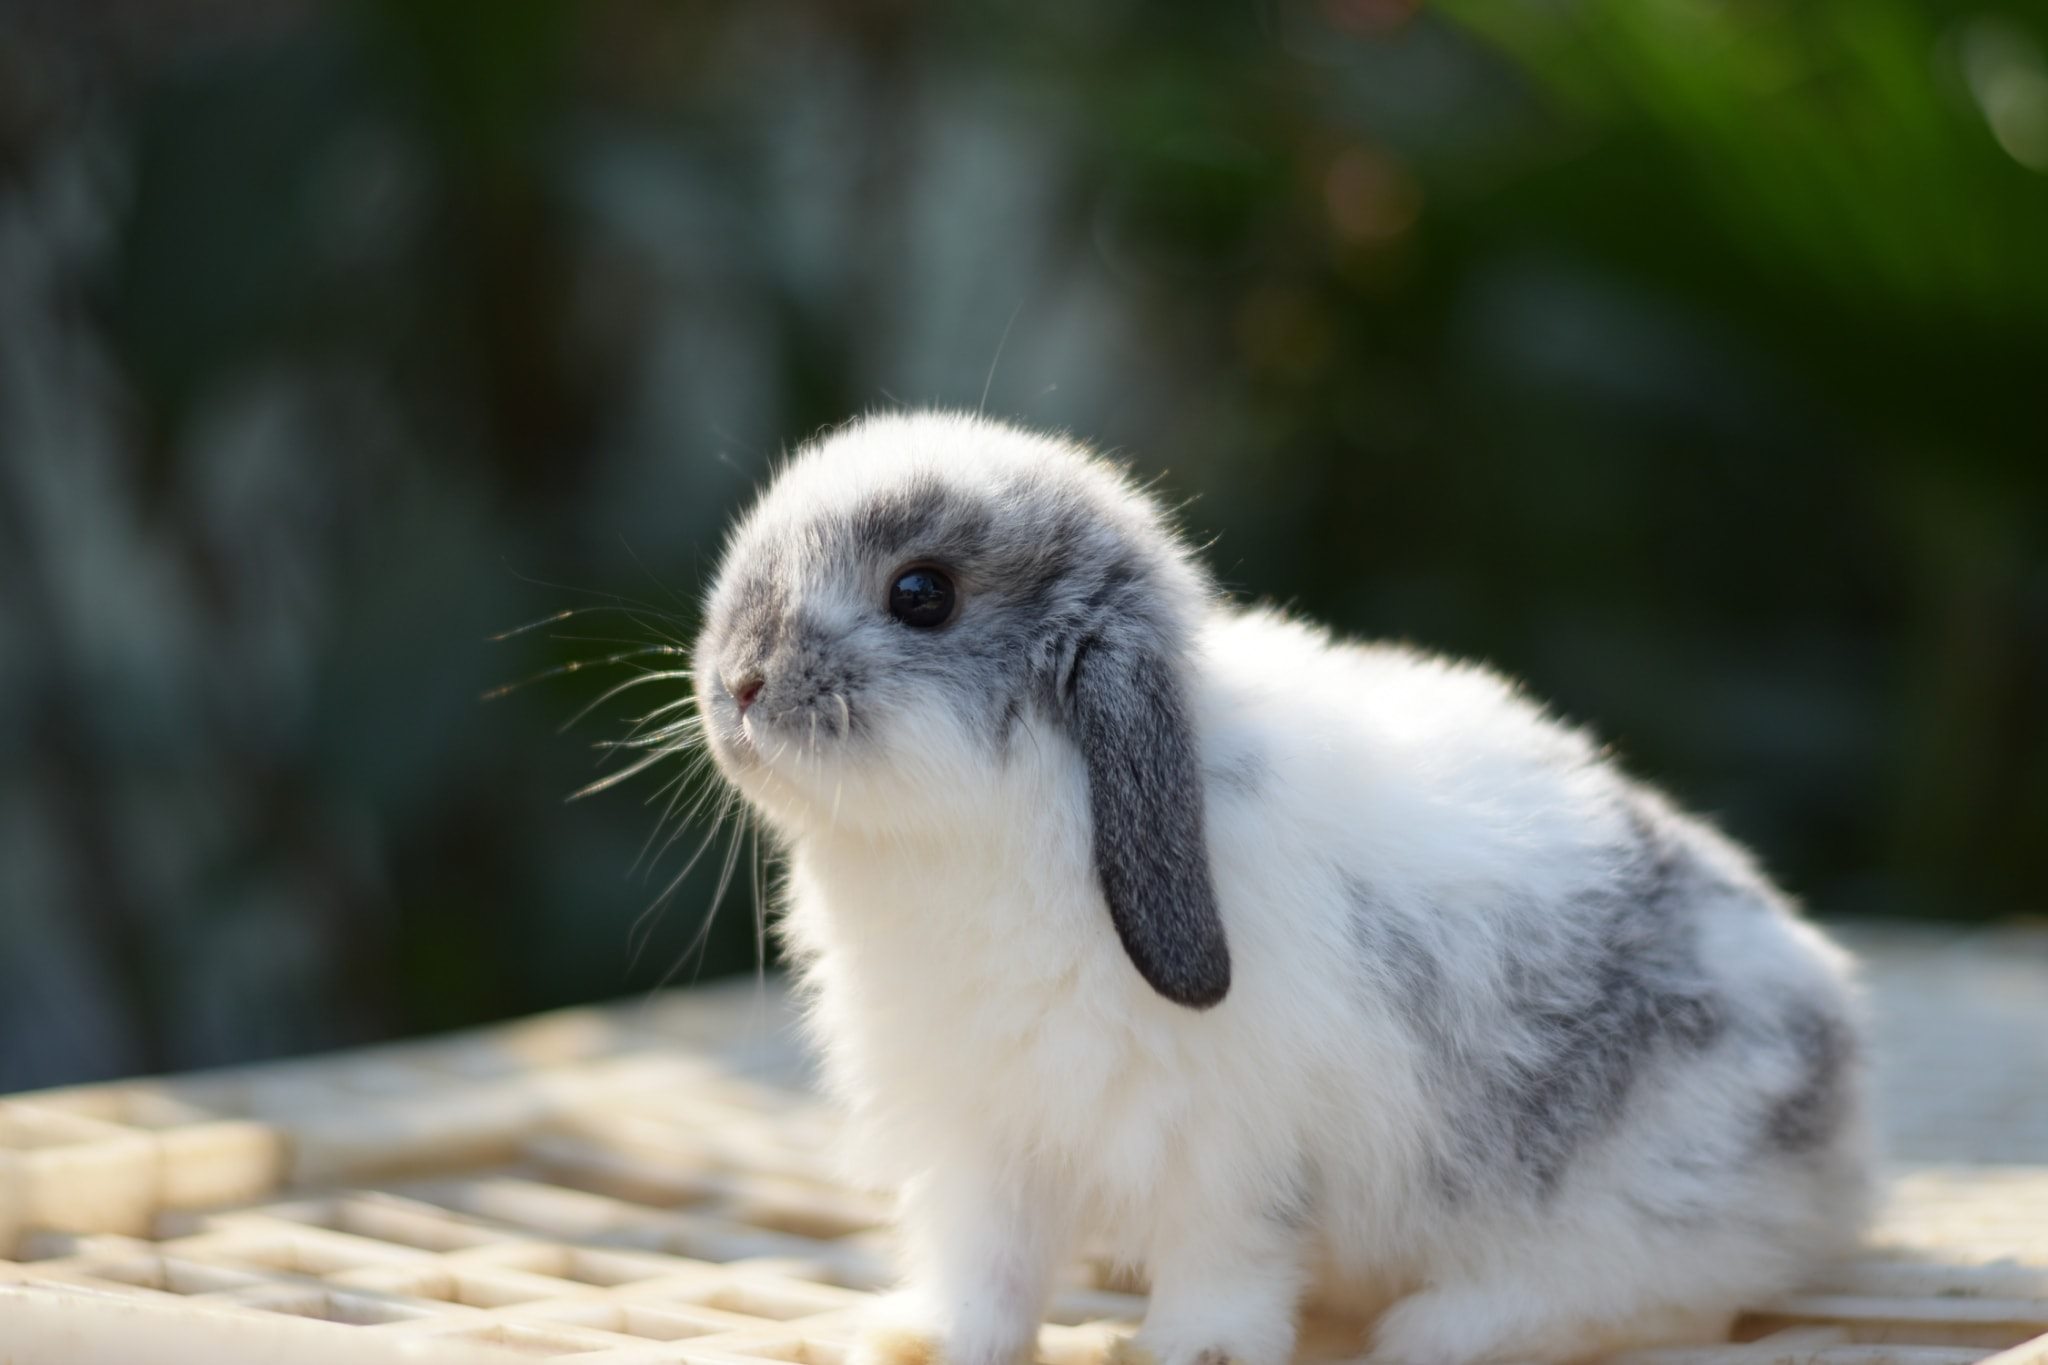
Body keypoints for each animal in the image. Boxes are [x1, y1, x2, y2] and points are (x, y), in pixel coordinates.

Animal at [688, 410, 1873, 1365]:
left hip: (1639, 1187)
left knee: (1652, 1296)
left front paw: (1194, 1352)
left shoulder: (1231, 1155)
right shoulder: (984, 1140)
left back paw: (1443, 1329)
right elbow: (989, 1269)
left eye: (921, 595)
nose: (738, 681)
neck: (1025, 824)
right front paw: (924, 1343)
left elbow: (1227, 1263)